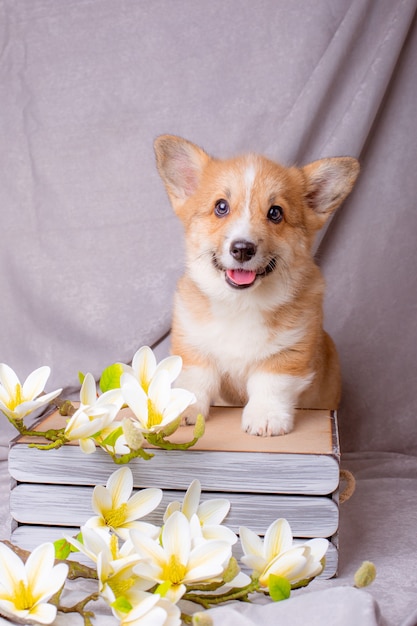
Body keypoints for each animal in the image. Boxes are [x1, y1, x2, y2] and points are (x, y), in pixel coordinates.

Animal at [153, 135, 358, 434]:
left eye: (275, 213)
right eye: (221, 207)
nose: (242, 249)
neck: (240, 303)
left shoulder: (289, 352)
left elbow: (270, 384)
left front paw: (266, 417)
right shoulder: (193, 345)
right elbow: (196, 381)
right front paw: (182, 409)